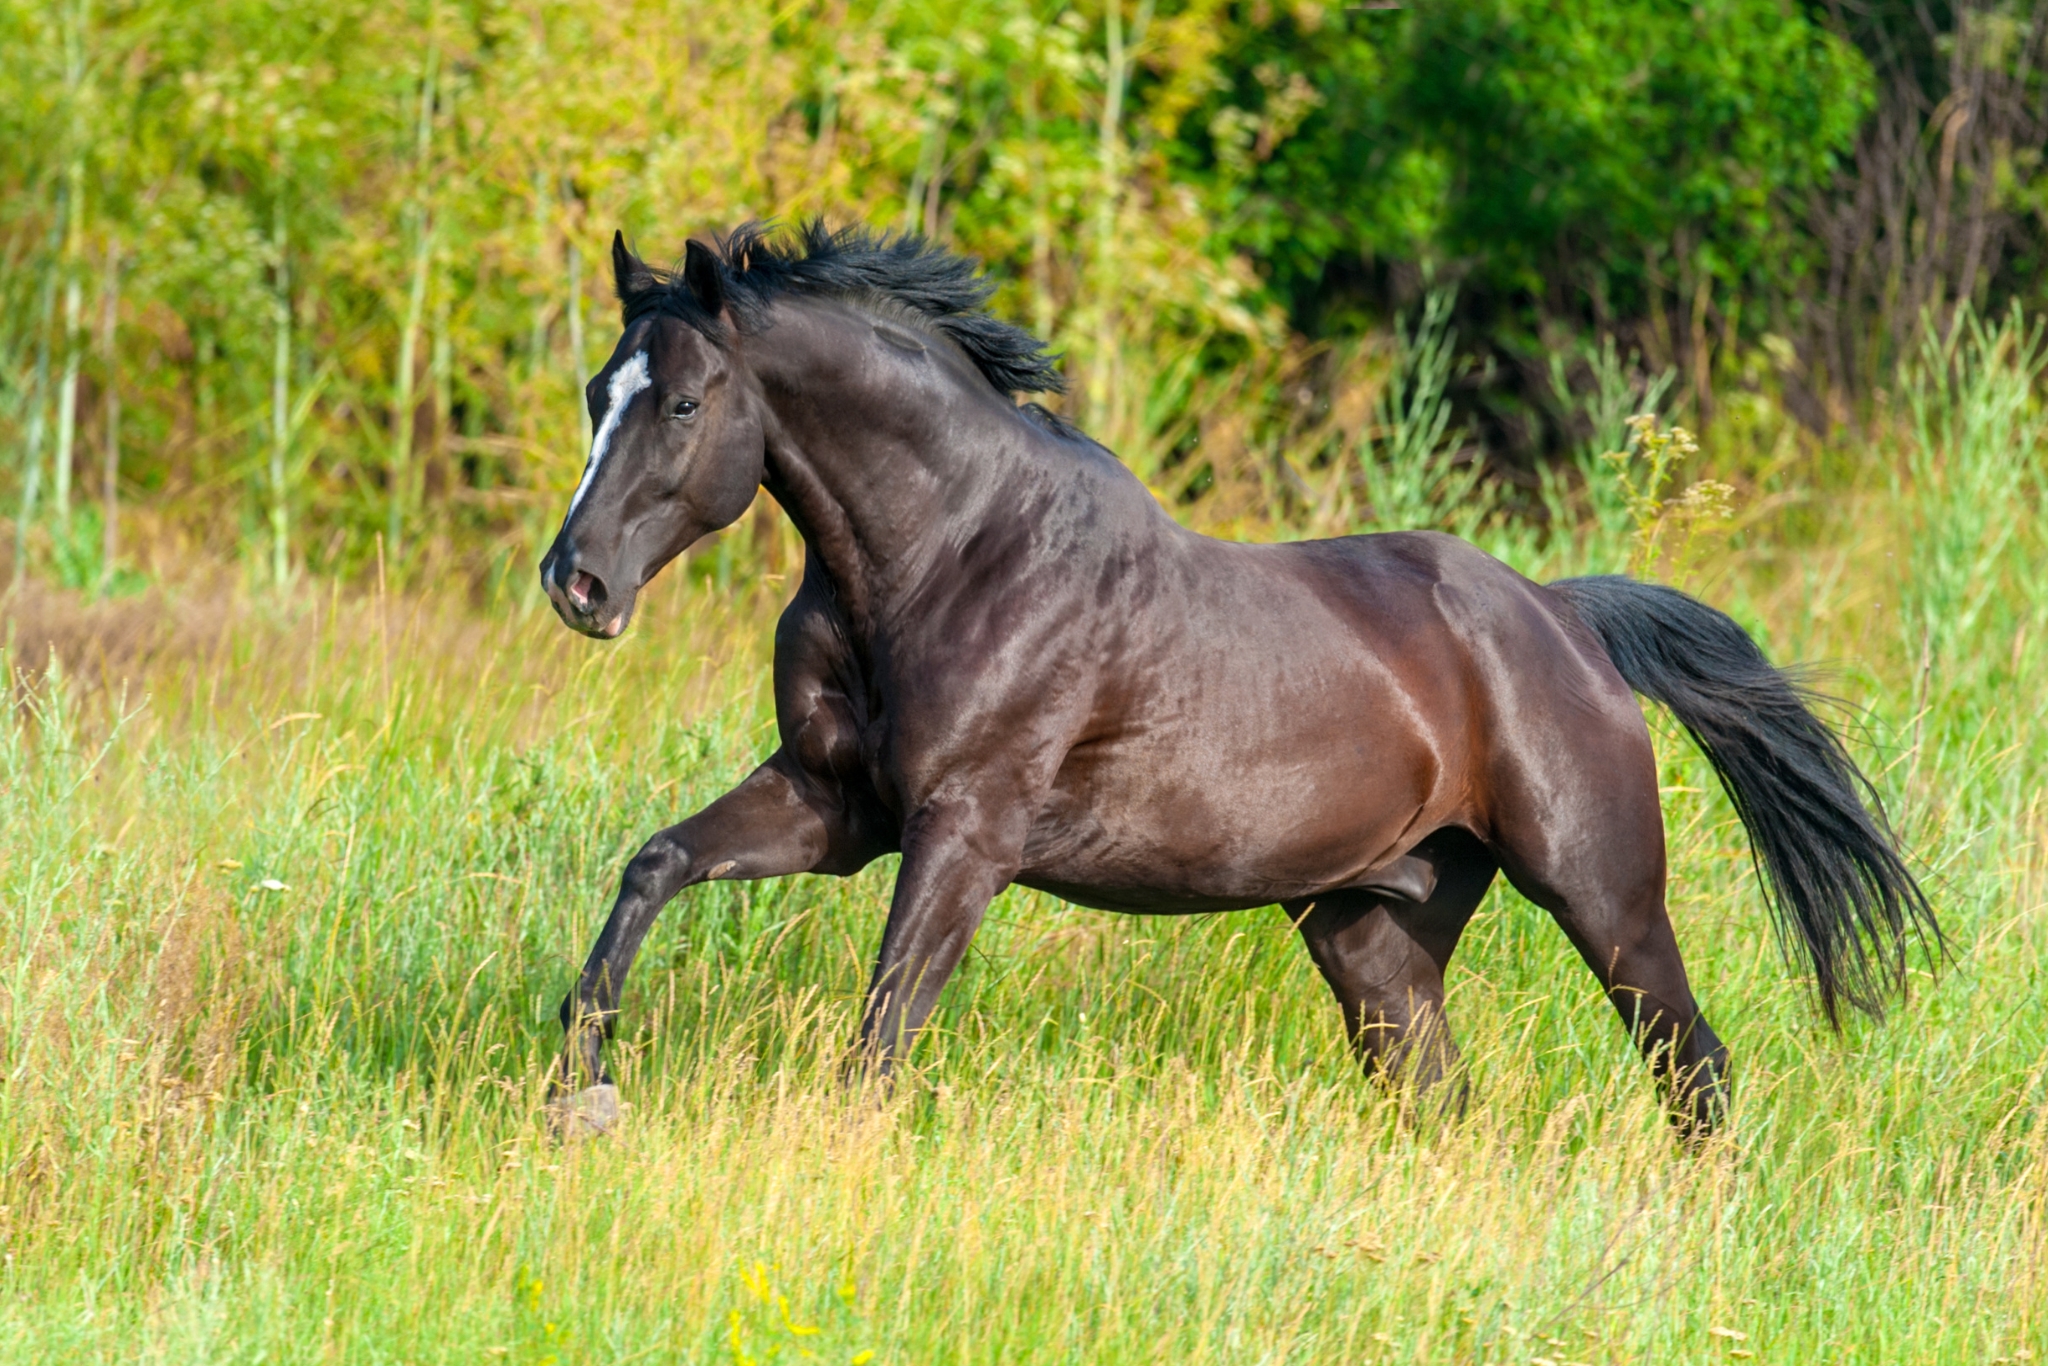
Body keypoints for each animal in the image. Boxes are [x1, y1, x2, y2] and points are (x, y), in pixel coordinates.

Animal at [536, 222, 1935, 1140]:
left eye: (686, 402)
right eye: (599, 391)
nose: (576, 584)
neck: (949, 552)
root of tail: (1558, 617)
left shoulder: (962, 833)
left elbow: (881, 1029)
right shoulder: (834, 806)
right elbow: (656, 865)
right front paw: (572, 1084)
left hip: (1600, 893)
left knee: (1692, 1067)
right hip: (1371, 933)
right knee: (1443, 1096)